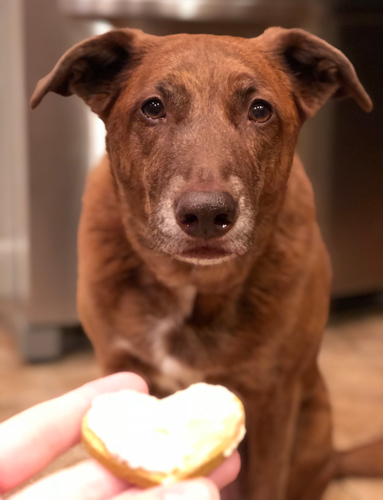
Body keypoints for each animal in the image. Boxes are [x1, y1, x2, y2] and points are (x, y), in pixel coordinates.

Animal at [31, 28, 382, 500]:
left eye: (260, 110)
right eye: (153, 107)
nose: (206, 214)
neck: (190, 283)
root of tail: (332, 459)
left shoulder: (273, 402)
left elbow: (266, 484)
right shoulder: (119, 364)